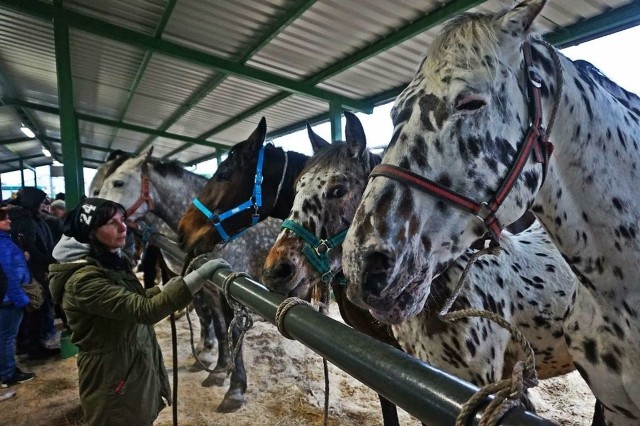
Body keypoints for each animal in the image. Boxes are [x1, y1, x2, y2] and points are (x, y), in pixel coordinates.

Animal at [97, 146, 280, 412]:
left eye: (118, 182)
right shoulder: (207, 286)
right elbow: (216, 324)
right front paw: (216, 368)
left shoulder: (232, 291)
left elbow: (231, 331)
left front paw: (234, 389)